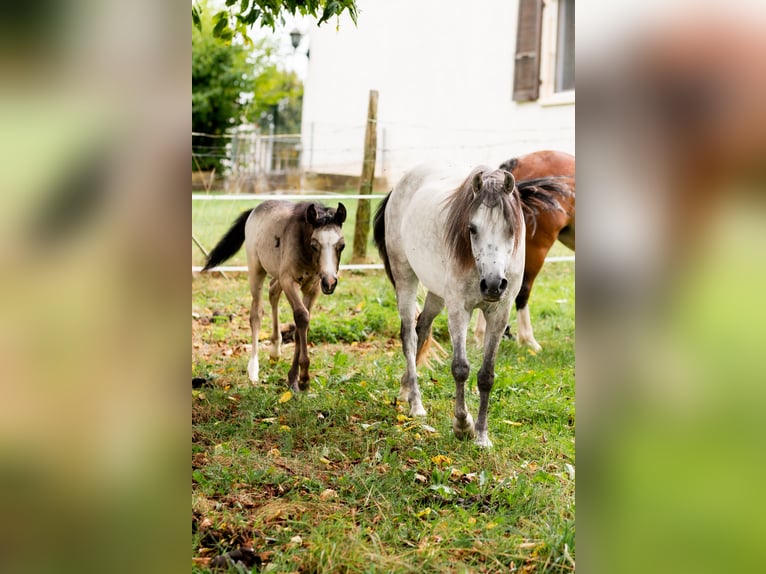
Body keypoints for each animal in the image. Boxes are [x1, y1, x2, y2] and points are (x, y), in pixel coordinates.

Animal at [204, 200, 348, 394]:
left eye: (342, 245)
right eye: (314, 245)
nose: (330, 282)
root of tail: (256, 208)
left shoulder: (313, 288)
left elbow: (302, 325)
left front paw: (294, 379)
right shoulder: (289, 281)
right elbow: (301, 317)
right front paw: (303, 379)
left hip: (278, 275)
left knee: (273, 292)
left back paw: (275, 351)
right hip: (257, 270)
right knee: (256, 313)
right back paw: (253, 369)